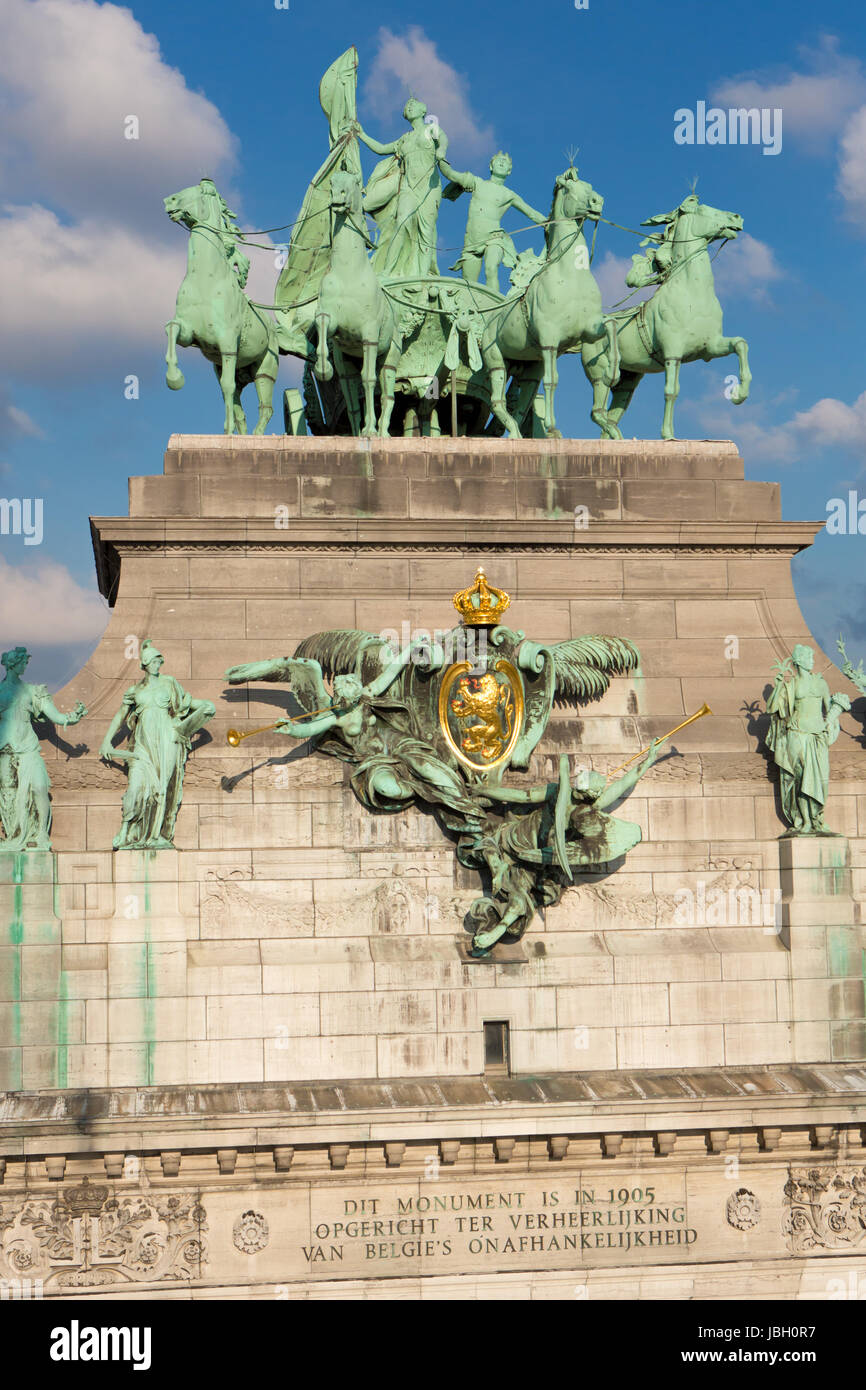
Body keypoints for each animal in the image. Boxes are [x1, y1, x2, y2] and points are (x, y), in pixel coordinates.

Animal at [164, 177, 279, 433]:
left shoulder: (227, 342)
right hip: (235, 370)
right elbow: (171, 328)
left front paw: (226, 431)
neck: (206, 279)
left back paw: (256, 436)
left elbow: (227, 387)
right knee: (240, 410)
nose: (168, 200)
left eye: (200, 192)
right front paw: (174, 378)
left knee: (265, 408)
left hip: (264, 370)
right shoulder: (189, 333)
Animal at [480, 169, 617, 439]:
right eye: (570, 188)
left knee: (520, 403)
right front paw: (553, 429)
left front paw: (610, 374)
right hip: (496, 361)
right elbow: (552, 381)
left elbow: (612, 323)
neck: (571, 276)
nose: (598, 202)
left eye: (589, 185)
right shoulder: (550, 339)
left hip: (529, 366)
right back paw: (515, 434)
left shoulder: (589, 330)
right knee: (497, 401)